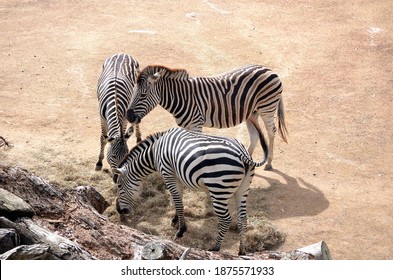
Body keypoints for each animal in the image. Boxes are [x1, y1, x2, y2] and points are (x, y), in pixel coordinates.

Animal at [112, 119, 268, 255]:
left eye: (119, 186)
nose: (119, 210)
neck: (155, 151)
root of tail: (243, 154)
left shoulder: (168, 174)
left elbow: (178, 203)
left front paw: (181, 230)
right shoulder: (177, 177)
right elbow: (178, 200)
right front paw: (175, 220)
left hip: (218, 190)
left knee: (226, 220)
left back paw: (215, 248)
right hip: (243, 189)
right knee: (243, 219)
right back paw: (242, 251)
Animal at [126, 64, 288, 170]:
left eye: (143, 95)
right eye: (132, 91)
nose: (128, 116)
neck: (182, 97)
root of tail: (269, 70)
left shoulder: (196, 124)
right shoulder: (186, 126)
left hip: (267, 108)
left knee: (271, 131)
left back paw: (269, 163)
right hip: (251, 112)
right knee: (255, 135)